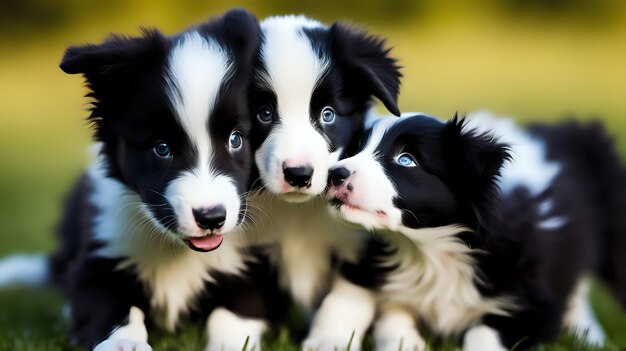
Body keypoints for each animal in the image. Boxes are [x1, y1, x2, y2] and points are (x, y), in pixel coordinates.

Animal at [0, 9, 266, 350]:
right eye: (161, 148)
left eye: (235, 140)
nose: (211, 218)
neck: (176, 250)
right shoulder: (101, 251)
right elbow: (110, 306)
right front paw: (122, 343)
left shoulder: (254, 265)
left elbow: (234, 313)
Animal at [234, 15, 400, 350]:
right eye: (264, 114)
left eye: (328, 114)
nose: (299, 174)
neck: (296, 211)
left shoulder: (359, 244)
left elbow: (344, 299)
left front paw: (329, 339)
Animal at [324, 111, 624, 350]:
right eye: (357, 149)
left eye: (406, 160)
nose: (334, 175)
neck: (432, 249)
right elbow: (392, 319)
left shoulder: (533, 305)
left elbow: (483, 332)